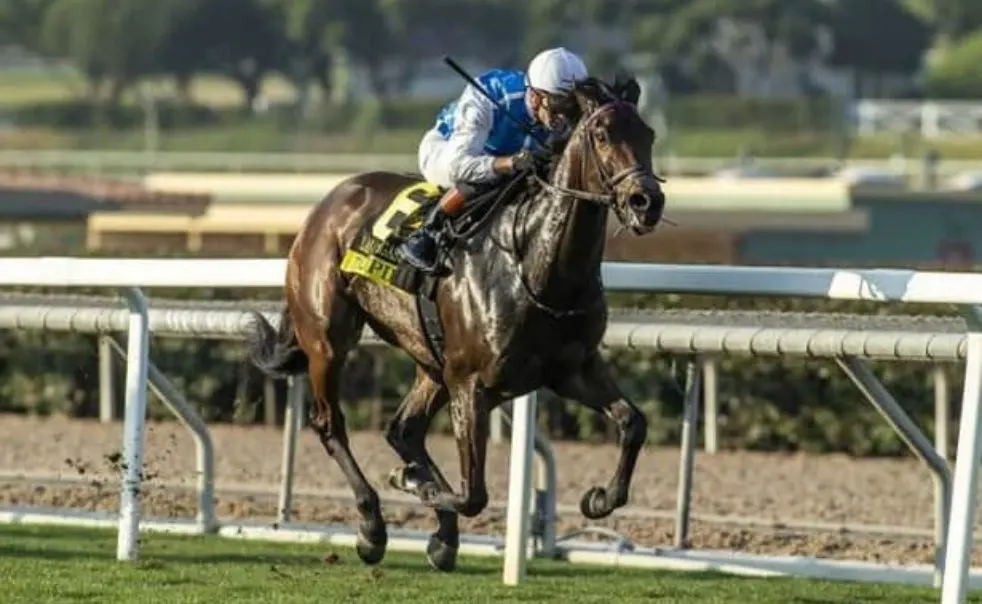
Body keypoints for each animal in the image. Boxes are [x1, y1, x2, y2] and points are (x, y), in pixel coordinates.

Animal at [248, 75, 668, 572]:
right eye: (601, 134)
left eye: (648, 134)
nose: (646, 201)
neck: (536, 266)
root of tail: (328, 202)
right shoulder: (471, 384)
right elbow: (473, 495)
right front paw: (410, 483)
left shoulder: (572, 370)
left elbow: (633, 422)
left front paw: (601, 498)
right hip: (328, 341)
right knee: (331, 425)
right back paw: (373, 526)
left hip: (430, 358)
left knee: (404, 430)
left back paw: (441, 536)